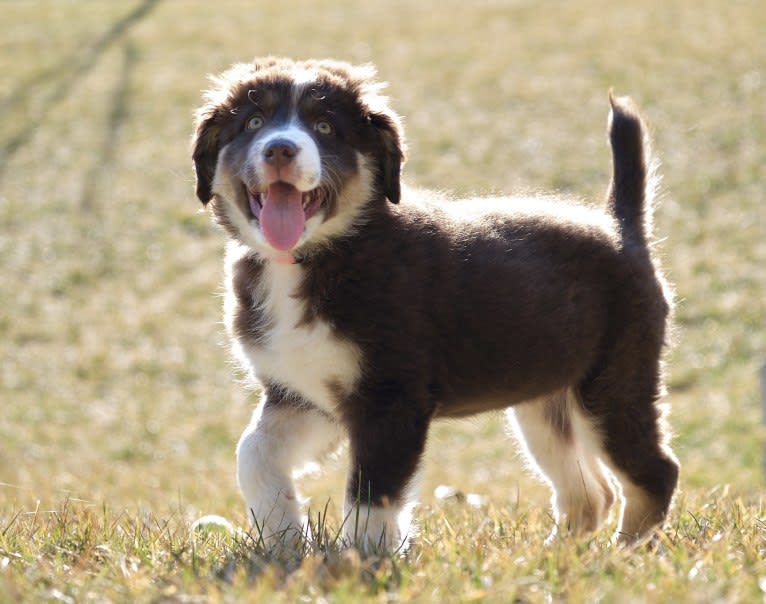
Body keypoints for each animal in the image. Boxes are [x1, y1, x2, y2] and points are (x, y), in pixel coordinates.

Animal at [190, 57, 680, 552]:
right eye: (254, 123)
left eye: (324, 126)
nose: (279, 149)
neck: (314, 258)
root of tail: (622, 229)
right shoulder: (305, 393)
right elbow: (253, 453)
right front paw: (286, 538)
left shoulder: (391, 396)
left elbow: (371, 496)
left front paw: (362, 560)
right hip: (545, 400)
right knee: (591, 492)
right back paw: (556, 556)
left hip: (613, 382)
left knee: (656, 471)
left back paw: (625, 552)